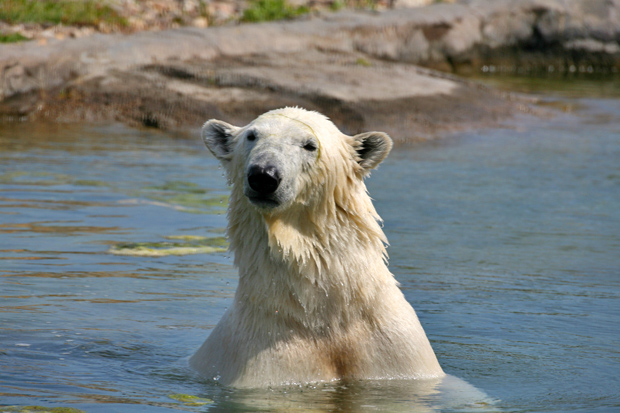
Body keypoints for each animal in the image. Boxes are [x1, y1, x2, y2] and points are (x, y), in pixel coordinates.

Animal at [191, 106, 444, 386]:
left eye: (310, 145)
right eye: (252, 136)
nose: (264, 176)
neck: (323, 316)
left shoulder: (396, 354)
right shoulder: (265, 360)